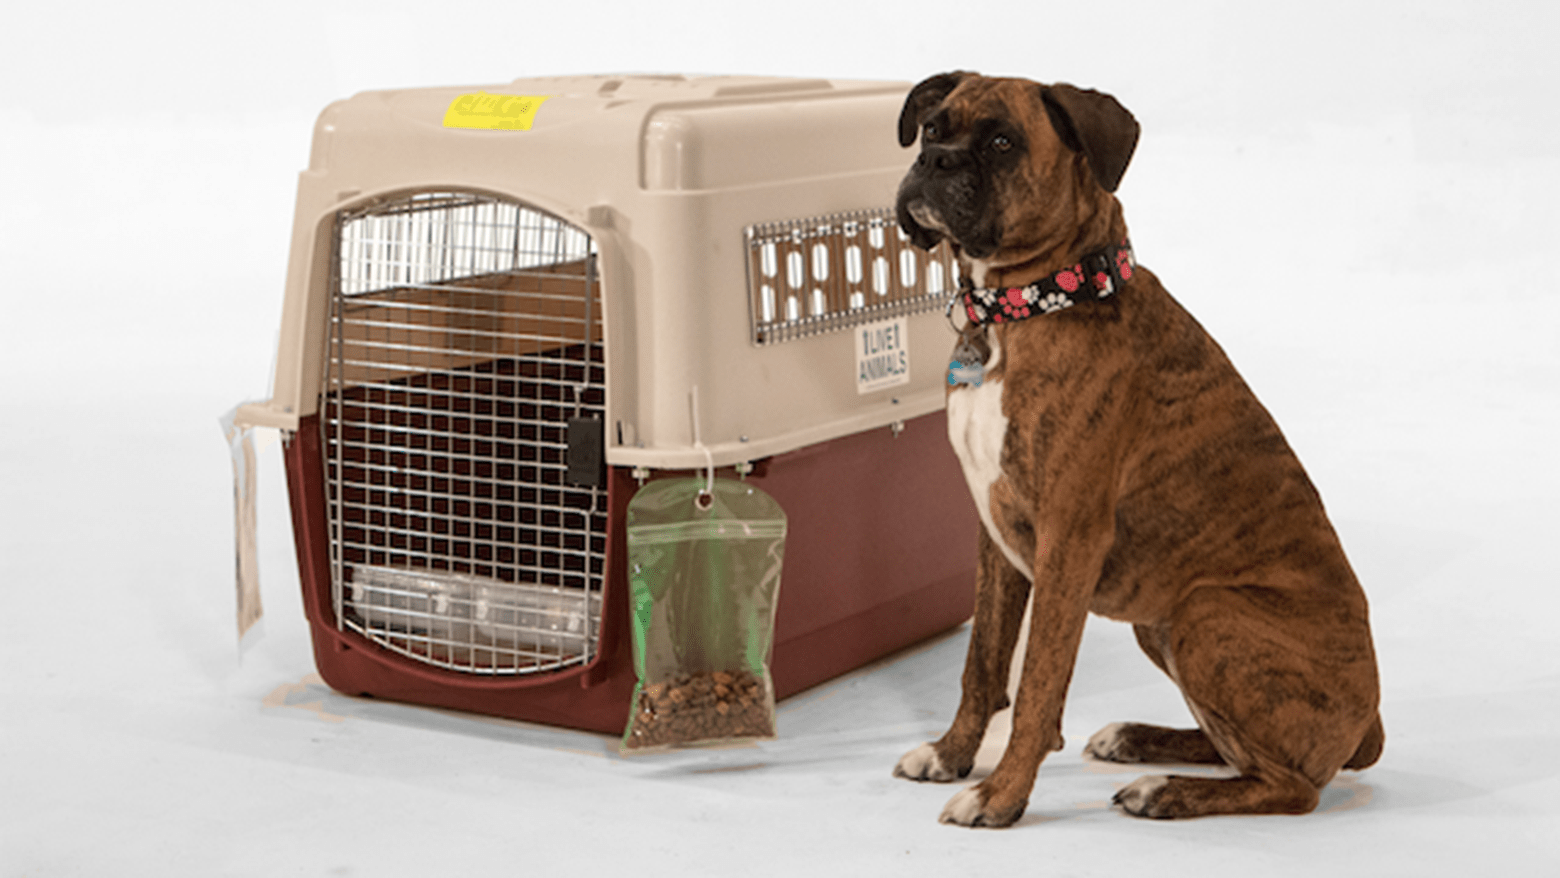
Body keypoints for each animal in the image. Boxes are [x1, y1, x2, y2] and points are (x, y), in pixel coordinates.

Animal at [892, 72, 1379, 829]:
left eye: (1002, 143)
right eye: (933, 130)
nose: (933, 163)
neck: (1027, 307)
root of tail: (1373, 719)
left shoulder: (1070, 540)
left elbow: (1037, 683)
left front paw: (1001, 796)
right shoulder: (995, 538)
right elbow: (983, 662)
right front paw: (950, 755)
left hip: (1205, 614)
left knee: (1292, 785)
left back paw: (1166, 790)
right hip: (1164, 625)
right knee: (1236, 748)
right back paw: (1139, 741)